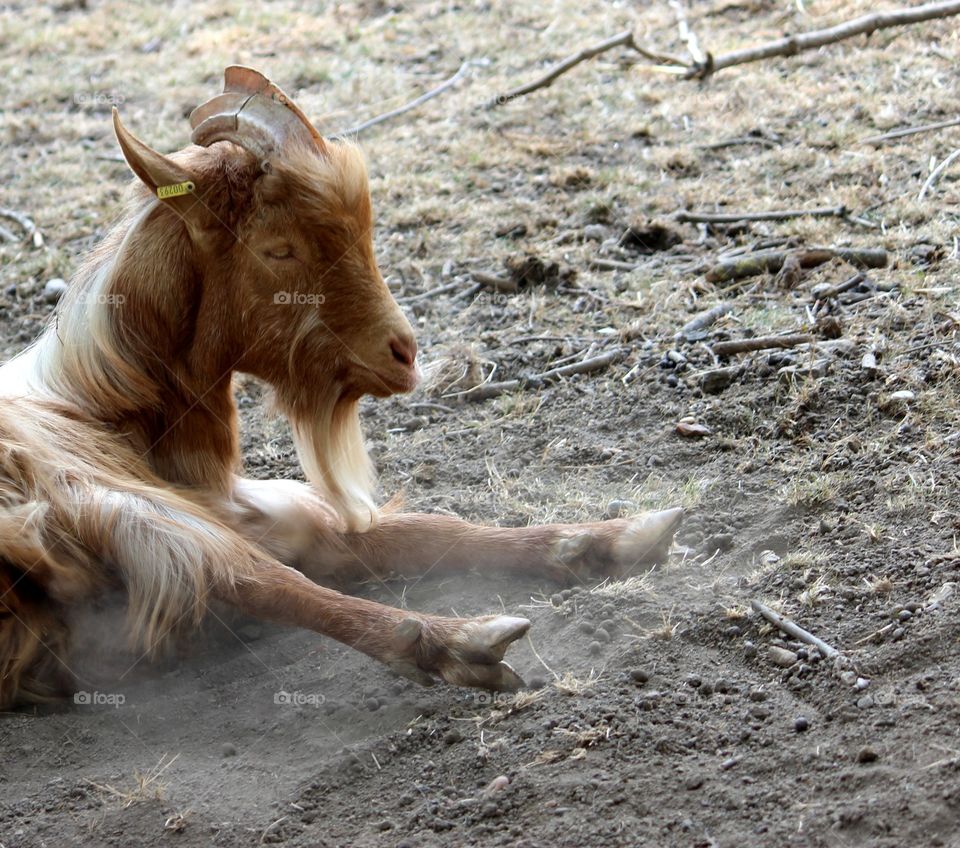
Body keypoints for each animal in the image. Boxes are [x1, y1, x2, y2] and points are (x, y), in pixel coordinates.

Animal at [0, 67, 682, 708]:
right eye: (278, 250)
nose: (405, 354)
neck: (102, 403)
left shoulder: (263, 513)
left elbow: (419, 532)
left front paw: (602, 539)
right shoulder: (97, 485)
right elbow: (267, 574)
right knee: (245, 577)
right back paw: (457, 641)